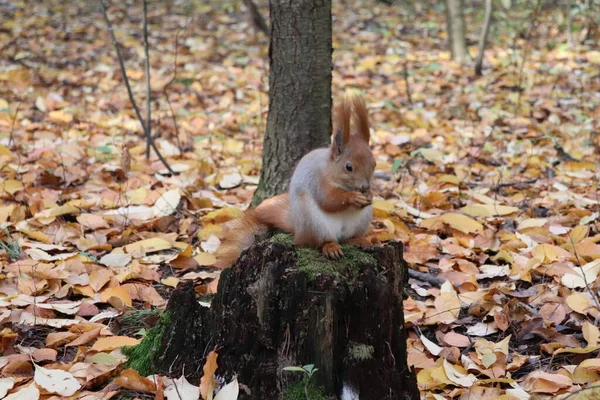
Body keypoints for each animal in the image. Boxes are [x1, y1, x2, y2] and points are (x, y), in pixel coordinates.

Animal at [216, 93, 376, 268]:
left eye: (374, 163)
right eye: (348, 167)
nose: (365, 186)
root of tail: (298, 231)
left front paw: (369, 195)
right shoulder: (317, 180)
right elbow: (329, 200)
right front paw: (353, 197)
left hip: (361, 222)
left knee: (347, 239)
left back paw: (360, 240)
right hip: (312, 222)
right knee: (317, 242)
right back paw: (330, 246)